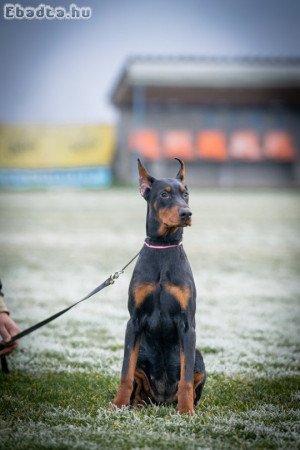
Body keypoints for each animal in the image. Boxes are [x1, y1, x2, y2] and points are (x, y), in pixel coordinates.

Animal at [113, 158, 206, 414]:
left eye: (186, 194)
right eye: (164, 194)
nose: (187, 213)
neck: (163, 247)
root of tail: (162, 399)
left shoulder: (187, 324)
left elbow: (186, 379)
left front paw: (186, 412)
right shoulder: (133, 322)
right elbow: (125, 374)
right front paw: (116, 406)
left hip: (199, 356)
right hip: (142, 354)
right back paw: (133, 406)